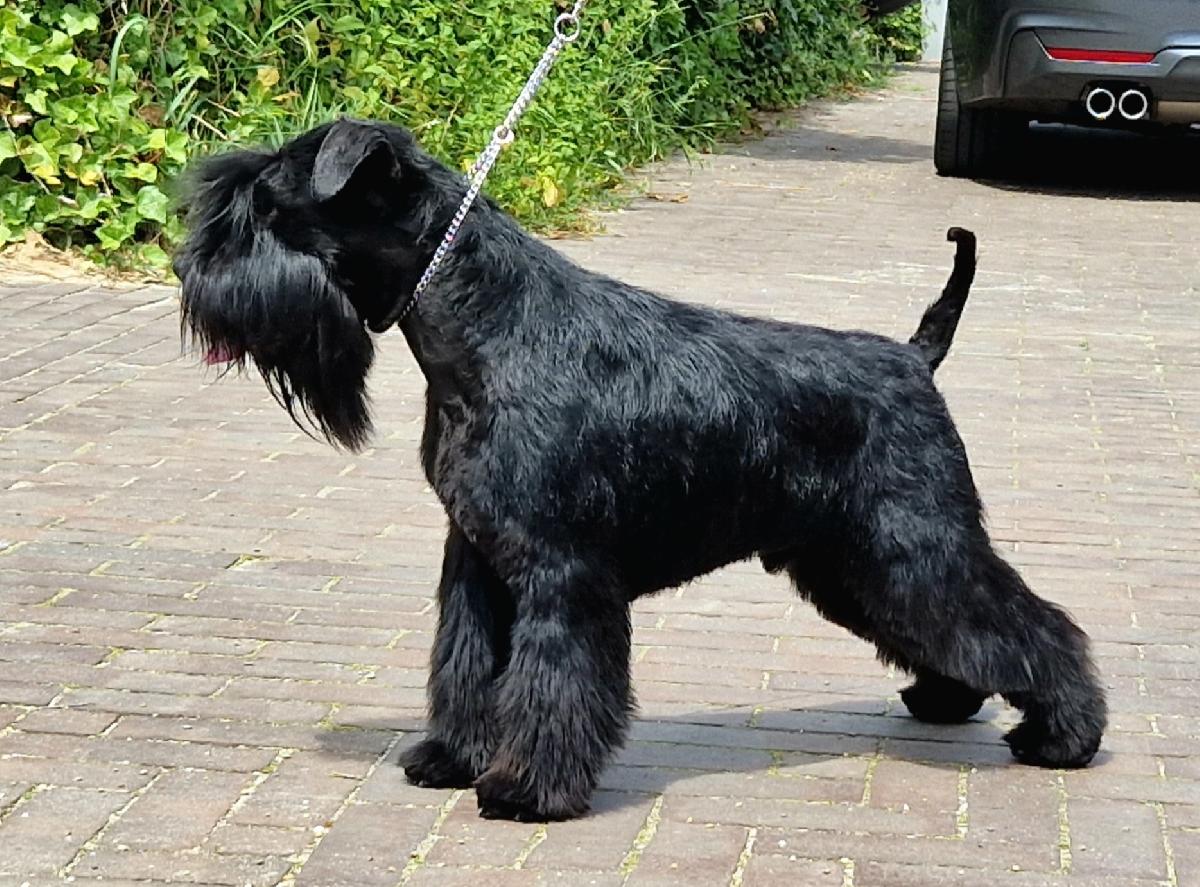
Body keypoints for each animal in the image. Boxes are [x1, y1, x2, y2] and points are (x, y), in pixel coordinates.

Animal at [174, 118, 1107, 822]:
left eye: (263, 204)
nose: (189, 272)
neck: (485, 328)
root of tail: (916, 357)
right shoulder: (476, 558)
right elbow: (468, 666)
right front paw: (450, 756)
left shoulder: (561, 569)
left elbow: (552, 682)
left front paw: (526, 790)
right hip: (854, 562)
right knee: (957, 627)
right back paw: (950, 698)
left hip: (914, 541)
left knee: (1032, 623)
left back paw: (1064, 735)